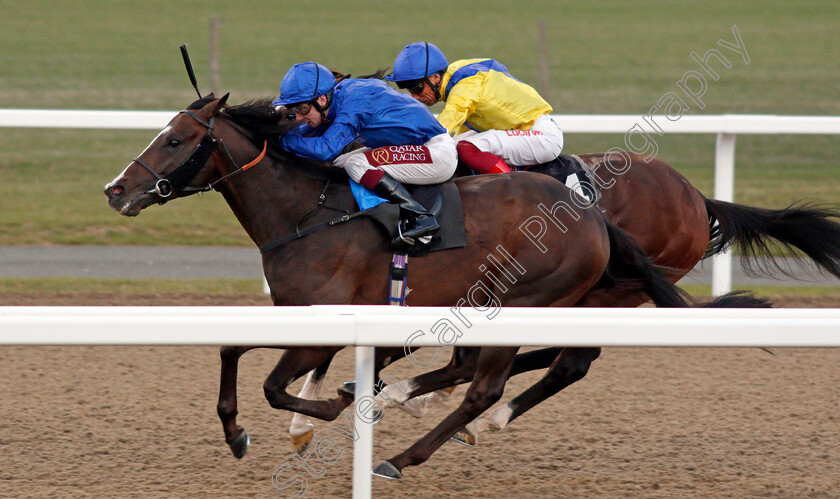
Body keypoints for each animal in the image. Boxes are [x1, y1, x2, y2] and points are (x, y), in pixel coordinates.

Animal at [103, 96, 704, 476]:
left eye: (176, 139)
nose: (115, 190)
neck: (307, 215)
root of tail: (591, 214)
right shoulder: (300, 314)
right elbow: (231, 350)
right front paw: (237, 434)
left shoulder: (324, 330)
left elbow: (276, 386)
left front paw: (335, 409)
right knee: (491, 369)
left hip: (528, 299)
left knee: (494, 384)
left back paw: (404, 454)